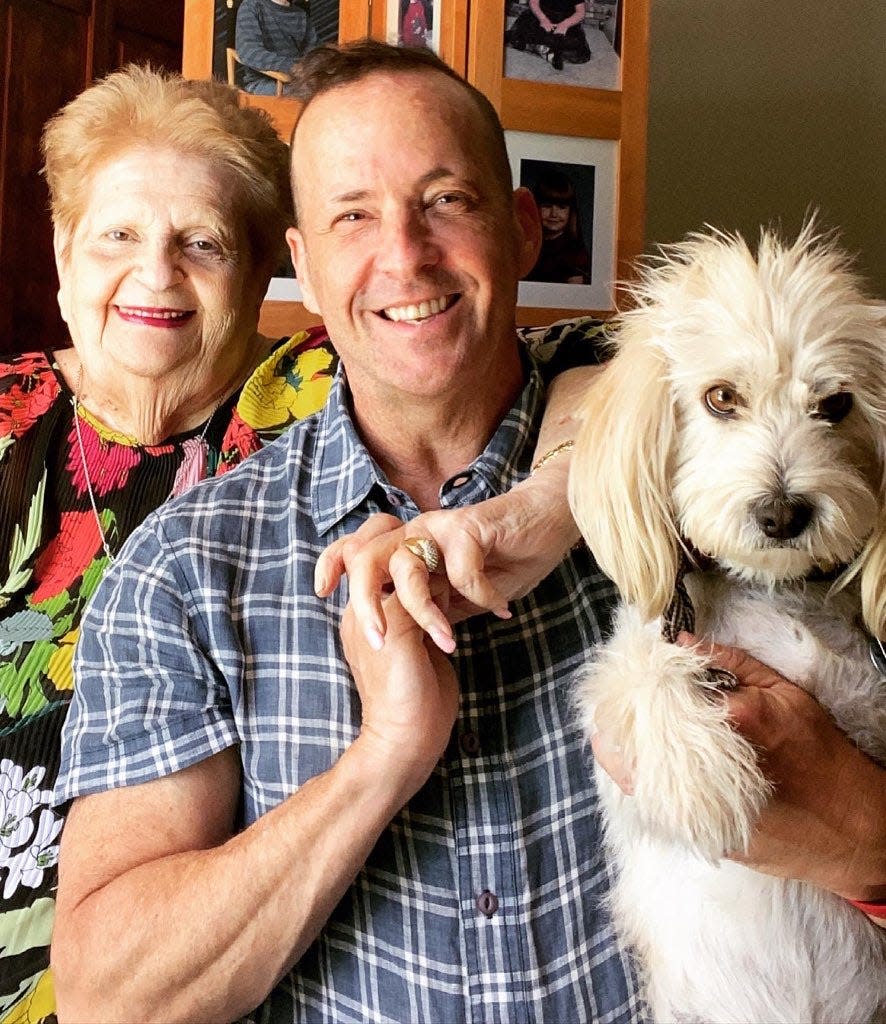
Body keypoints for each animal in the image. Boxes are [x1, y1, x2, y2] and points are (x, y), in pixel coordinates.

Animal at [565, 226, 884, 1024]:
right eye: (720, 397)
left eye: (837, 403)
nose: (783, 512)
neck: (775, 592)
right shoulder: (623, 695)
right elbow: (637, 672)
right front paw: (703, 775)